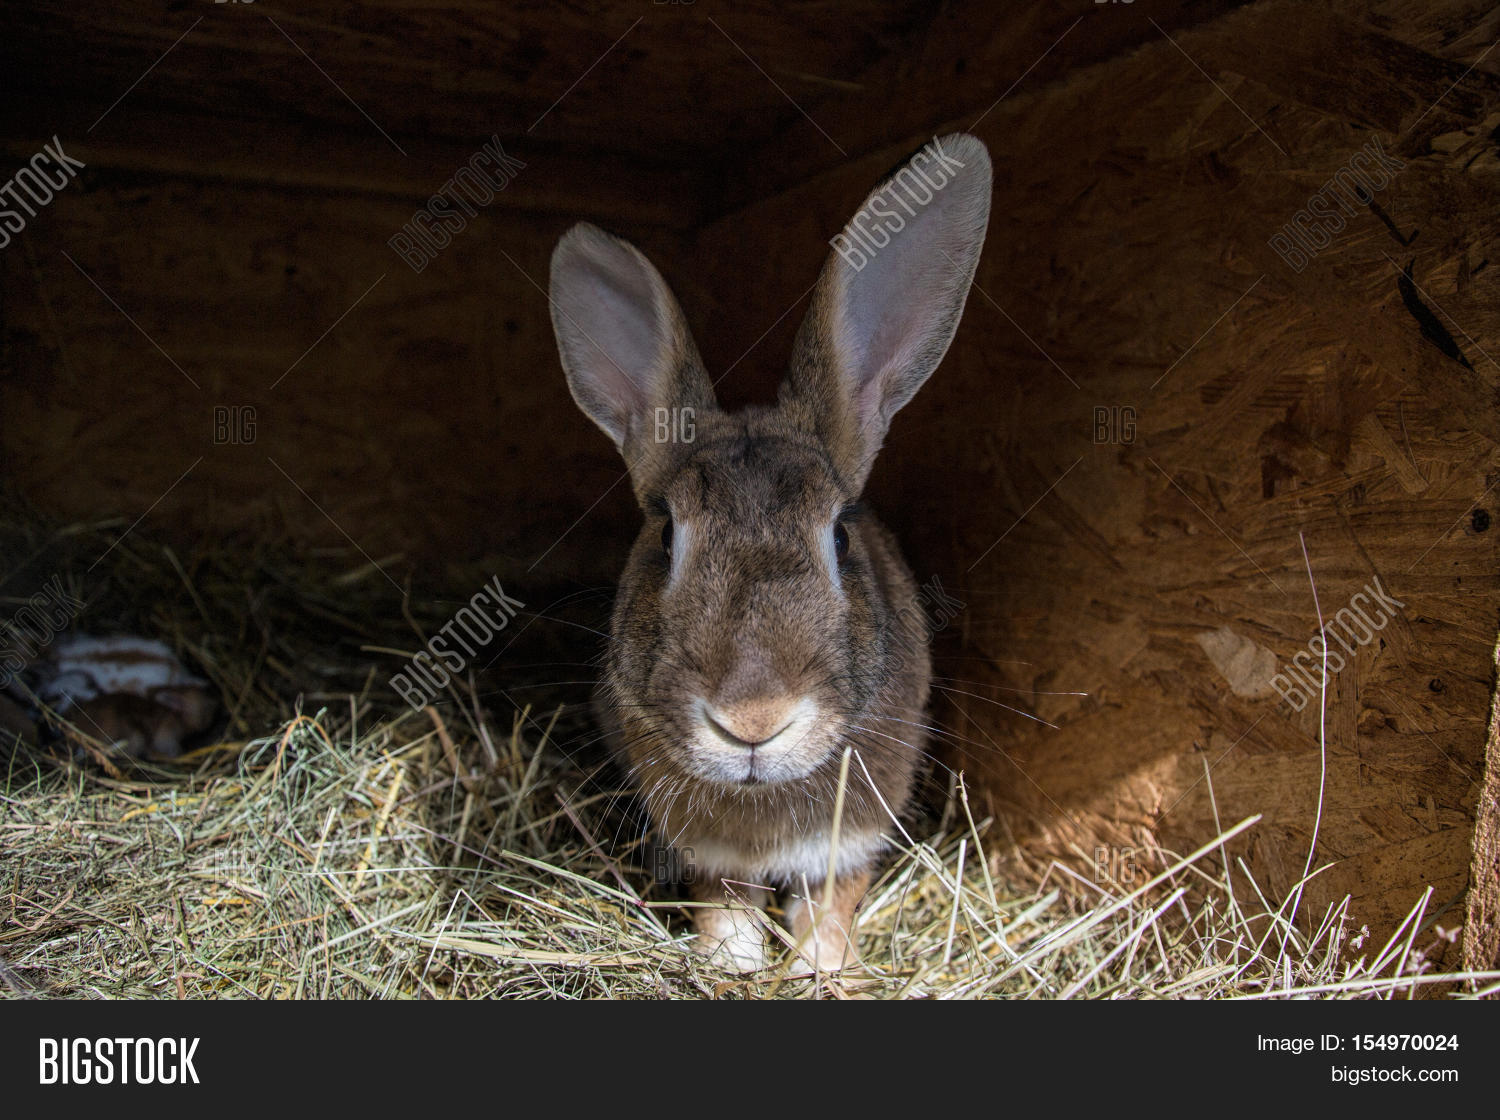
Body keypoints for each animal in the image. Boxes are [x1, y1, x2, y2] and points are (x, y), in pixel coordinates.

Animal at [548, 133, 992, 972]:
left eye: (841, 533)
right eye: (666, 536)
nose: (753, 722)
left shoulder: (854, 837)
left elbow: (832, 904)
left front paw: (823, 970)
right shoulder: (708, 853)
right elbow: (724, 903)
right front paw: (734, 964)